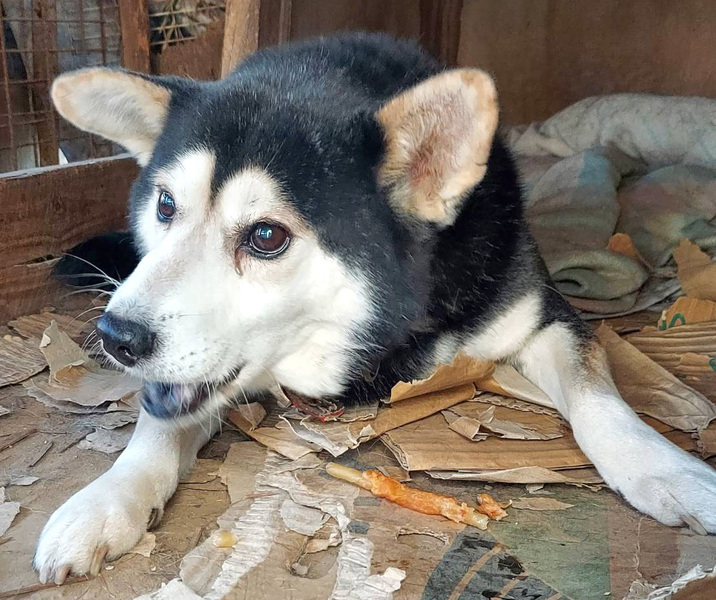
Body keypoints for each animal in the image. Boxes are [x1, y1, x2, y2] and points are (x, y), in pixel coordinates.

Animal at [35, 32, 716, 584]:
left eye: (265, 236)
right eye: (167, 205)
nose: (116, 335)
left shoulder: (542, 316)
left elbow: (596, 397)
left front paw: (666, 469)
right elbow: (156, 422)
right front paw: (105, 501)